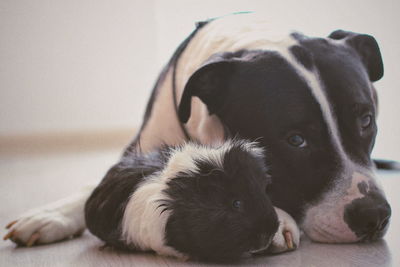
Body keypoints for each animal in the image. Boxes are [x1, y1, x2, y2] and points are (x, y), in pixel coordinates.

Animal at [3, 12, 390, 258]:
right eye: (296, 139)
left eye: (365, 120)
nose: (374, 215)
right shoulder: (140, 149)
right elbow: (102, 182)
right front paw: (50, 214)